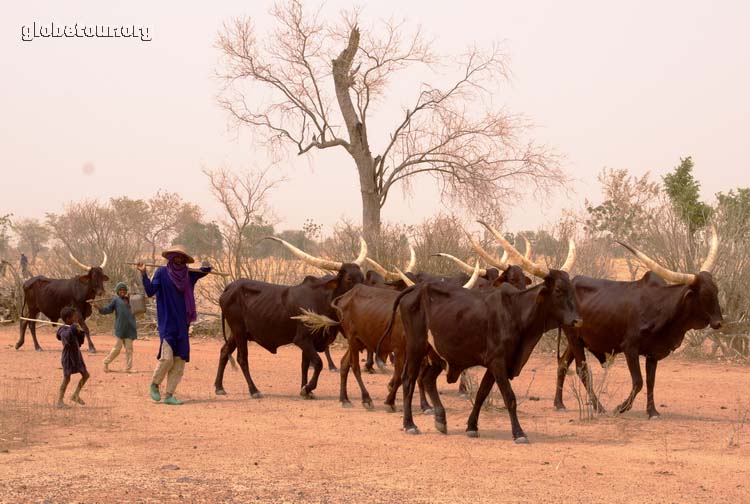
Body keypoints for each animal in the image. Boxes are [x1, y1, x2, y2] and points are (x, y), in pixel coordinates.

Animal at [213, 238, 368, 400]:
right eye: (349, 279)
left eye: (362, 277)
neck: (322, 300)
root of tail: (230, 286)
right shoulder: (302, 339)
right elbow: (318, 363)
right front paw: (307, 388)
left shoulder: (311, 342)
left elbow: (305, 365)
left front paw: (306, 389)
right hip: (239, 331)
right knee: (242, 359)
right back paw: (254, 390)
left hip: (236, 332)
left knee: (224, 351)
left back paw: (219, 387)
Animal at [560, 227, 724, 418]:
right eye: (704, 294)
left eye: (716, 290)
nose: (719, 322)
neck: (661, 307)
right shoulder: (630, 348)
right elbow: (638, 382)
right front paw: (620, 408)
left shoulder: (653, 353)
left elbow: (651, 381)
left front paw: (652, 412)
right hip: (574, 339)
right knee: (583, 371)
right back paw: (599, 408)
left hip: (577, 340)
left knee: (563, 364)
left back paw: (559, 404)